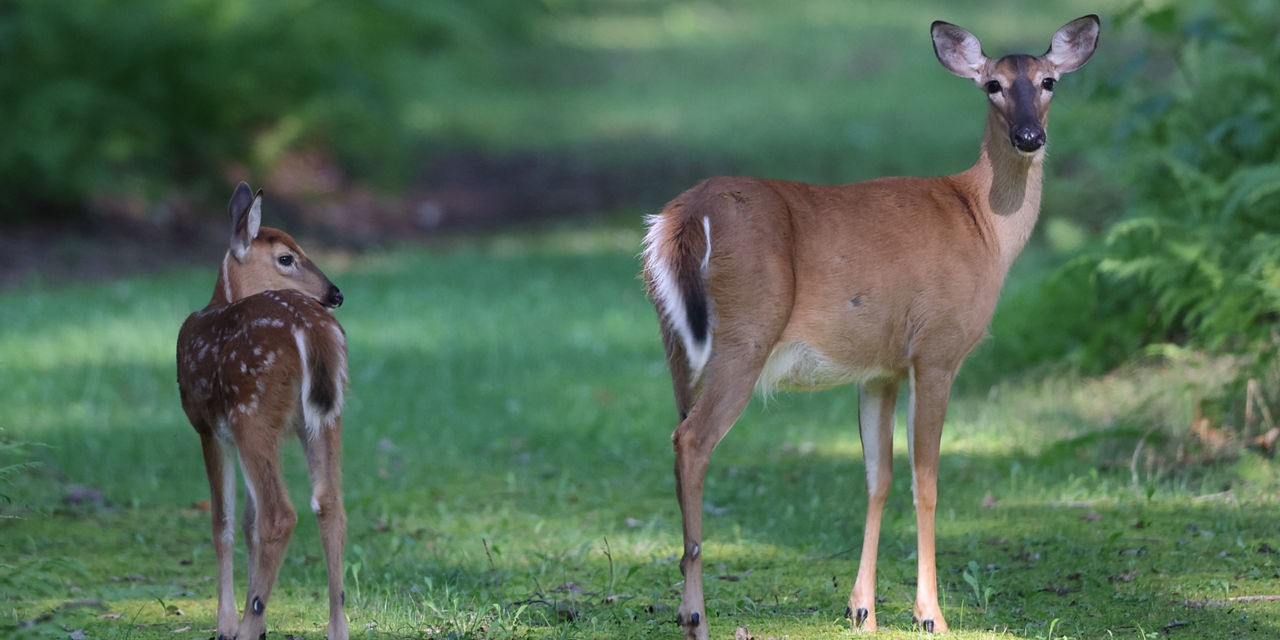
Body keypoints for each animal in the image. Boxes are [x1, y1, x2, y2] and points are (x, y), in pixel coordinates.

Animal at [177, 182, 349, 640]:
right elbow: (247, 522)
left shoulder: (208, 428)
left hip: (250, 410)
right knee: (329, 503)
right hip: (325, 418)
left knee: (280, 514)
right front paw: (259, 619)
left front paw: (226, 624)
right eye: (287, 257)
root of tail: (311, 329)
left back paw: (247, 625)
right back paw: (336, 627)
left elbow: (224, 521)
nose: (336, 294)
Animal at [642, 15, 1099, 638]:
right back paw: (695, 616)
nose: (1030, 136)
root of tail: (682, 217)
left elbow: (876, 477)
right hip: (746, 336)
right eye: (993, 86)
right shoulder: (936, 349)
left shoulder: (879, 367)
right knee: (692, 440)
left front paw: (861, 608)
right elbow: (925, 478)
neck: (984, 224)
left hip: (677, 344)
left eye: (1049, 80)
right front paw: (930, 613)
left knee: (679, 435)